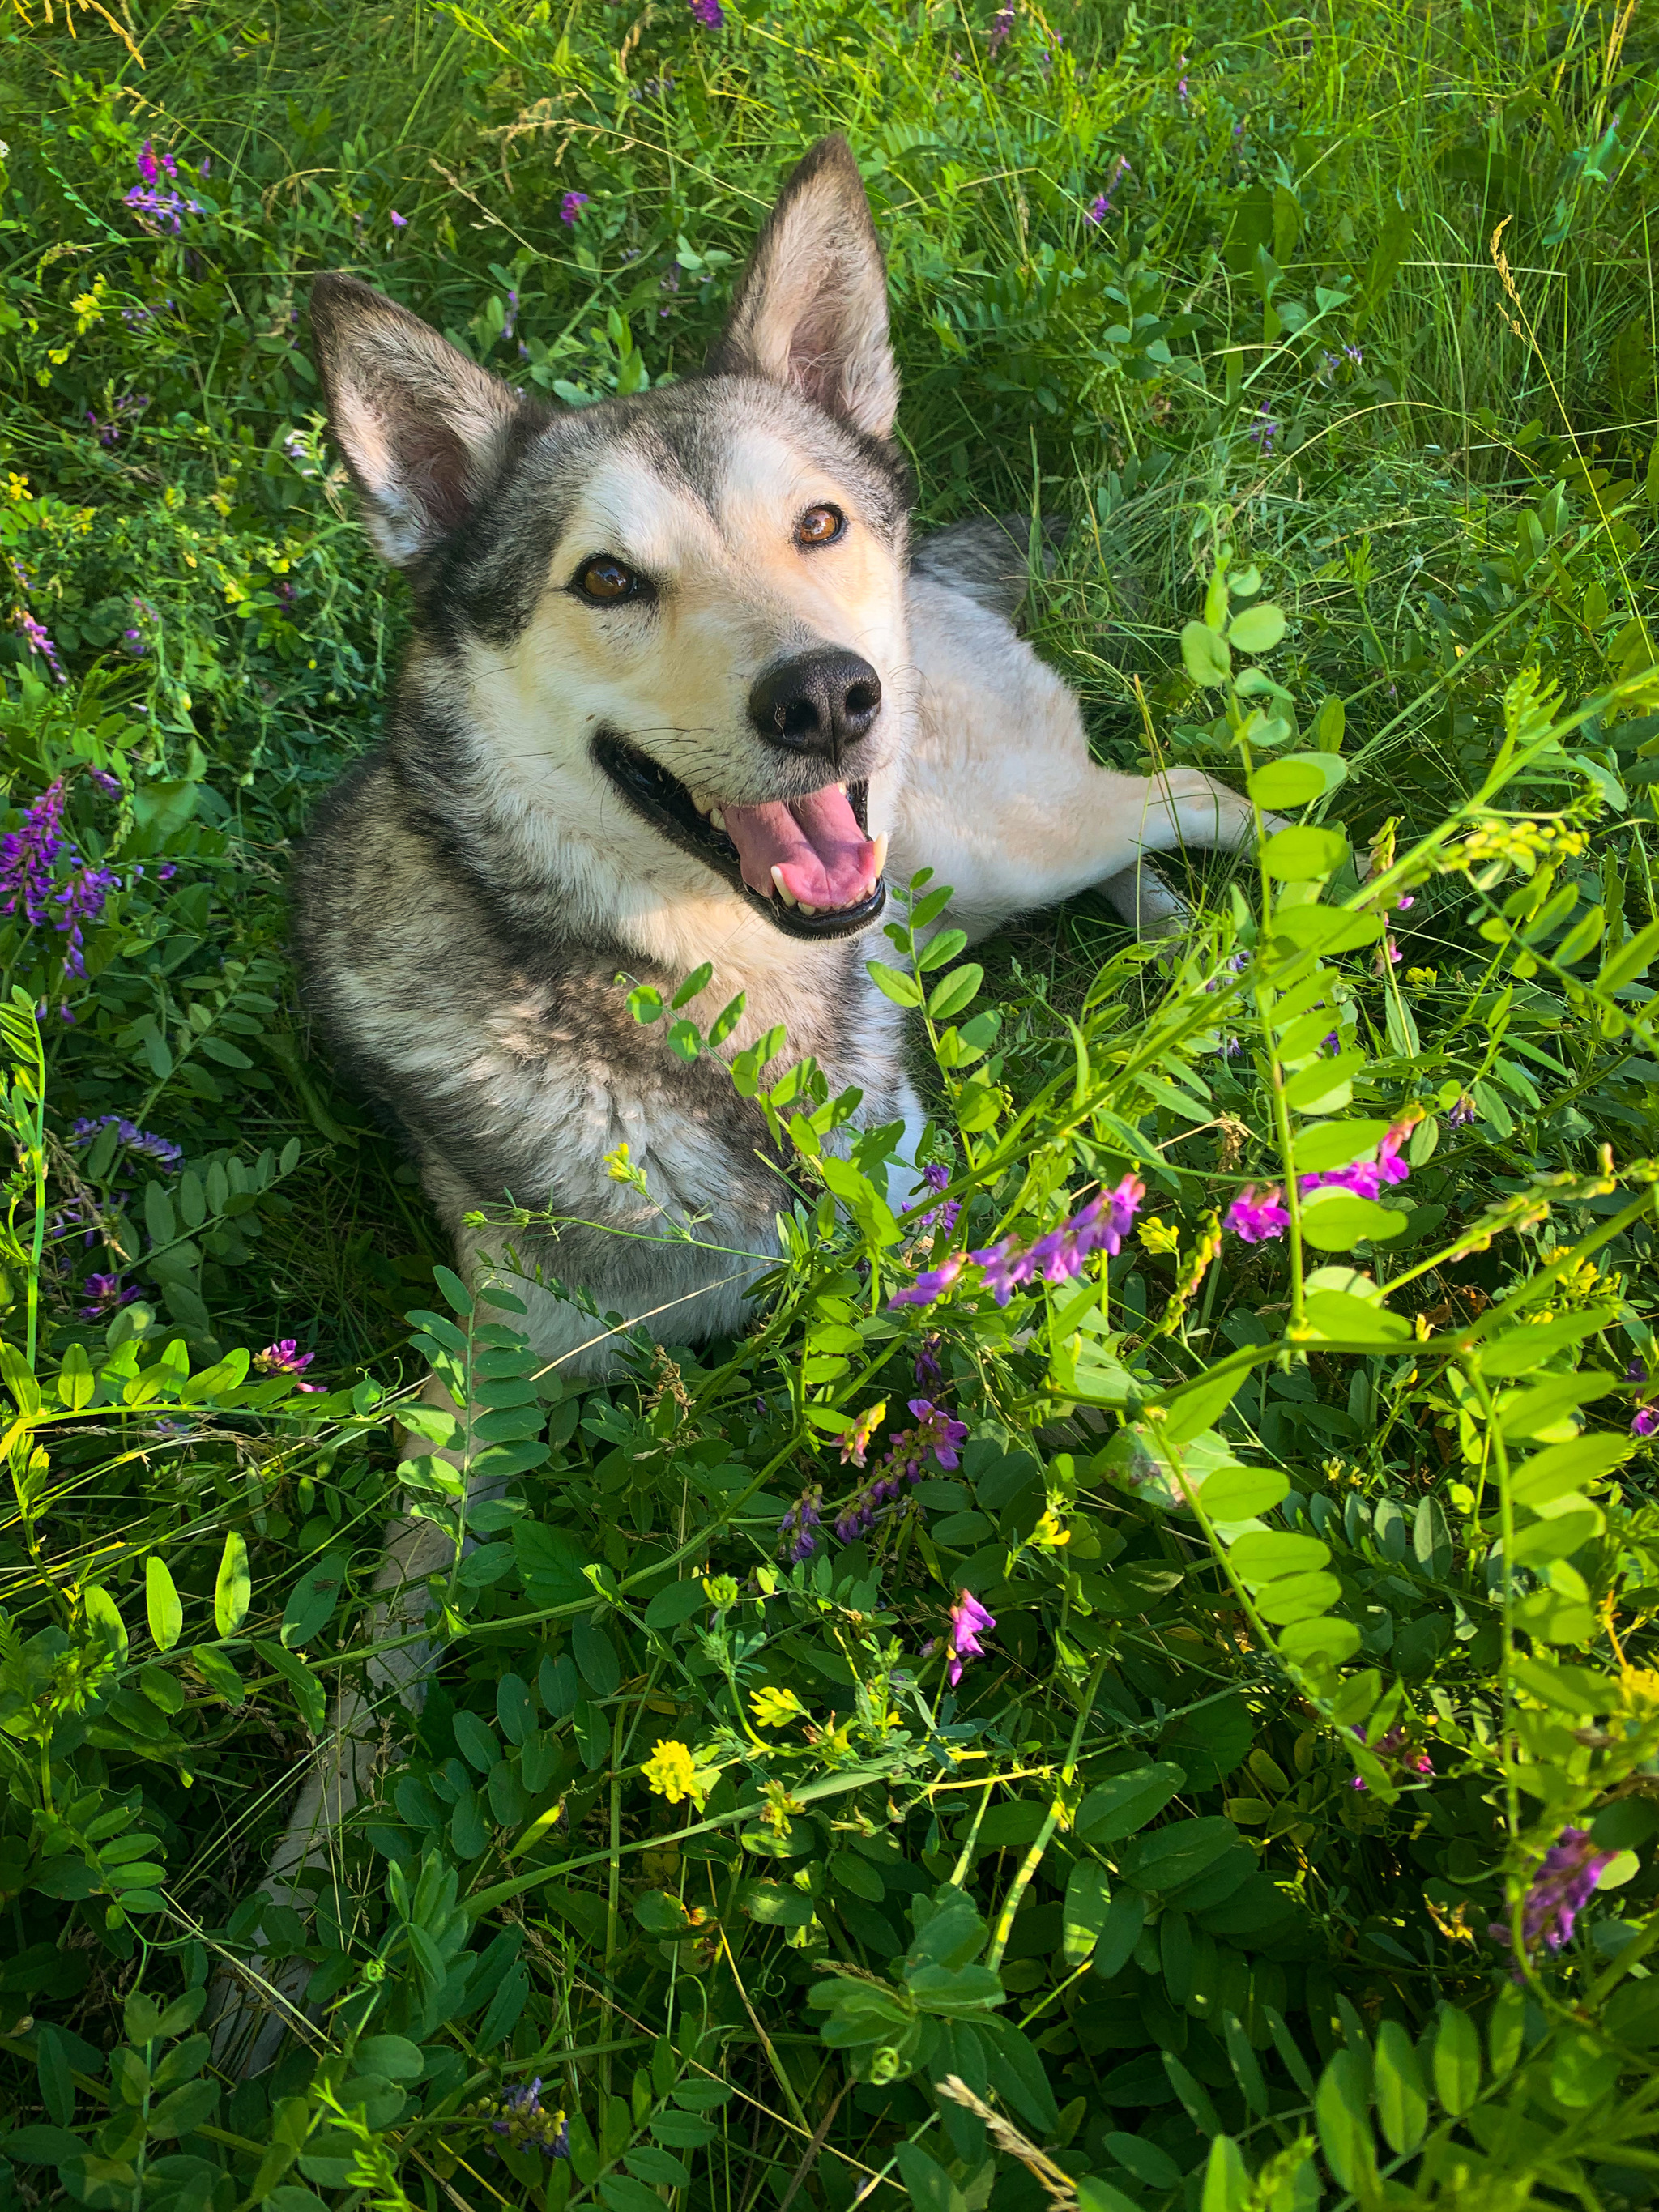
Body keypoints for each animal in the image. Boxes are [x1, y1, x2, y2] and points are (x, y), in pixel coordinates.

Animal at [214, 134, 1265, 2070]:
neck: (714, 1001)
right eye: (605, 582)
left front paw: (1199, 1485)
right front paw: (285, 1928)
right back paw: (1189, 966)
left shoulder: (922, 1236)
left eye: (816, 527)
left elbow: (1069, 1370)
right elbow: (376, 1673)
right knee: (1145, 851)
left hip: (993, 828)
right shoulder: (479, 1387)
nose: (827, 697)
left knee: (1210, 792)